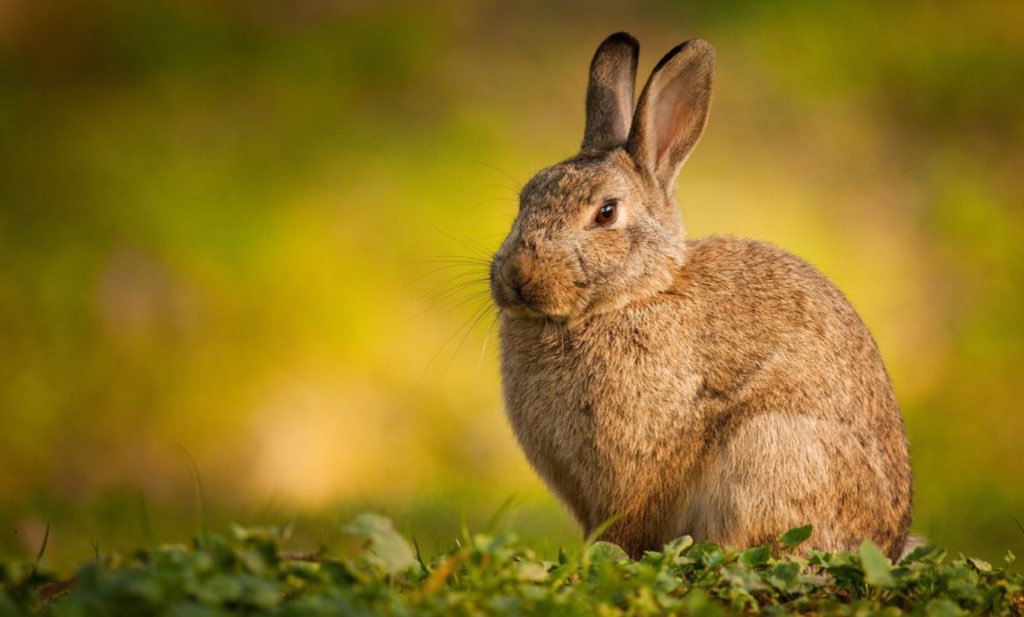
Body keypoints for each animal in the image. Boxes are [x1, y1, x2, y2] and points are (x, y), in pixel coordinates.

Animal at [489, 32, 913, 560]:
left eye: (606, 213)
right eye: (525, 198)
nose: (516, 277)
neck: (636, 296)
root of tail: (888, 542)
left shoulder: (641, 467)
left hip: (769, 449)